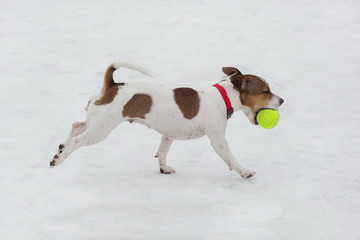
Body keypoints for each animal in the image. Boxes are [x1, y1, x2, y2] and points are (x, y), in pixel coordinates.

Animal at [50, 62, 284, 178]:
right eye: (265, 91)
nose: (282, 101)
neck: (222, 96)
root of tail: (112, 86)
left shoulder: (168, 134)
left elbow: (162, 152)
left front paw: (164, 168)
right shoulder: (218, 140)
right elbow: (231, 159)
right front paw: (245, 171)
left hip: (95, 122)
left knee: (76, 125)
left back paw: (60, 147)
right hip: (101, 129)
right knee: (77, 141)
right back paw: (59, 159)